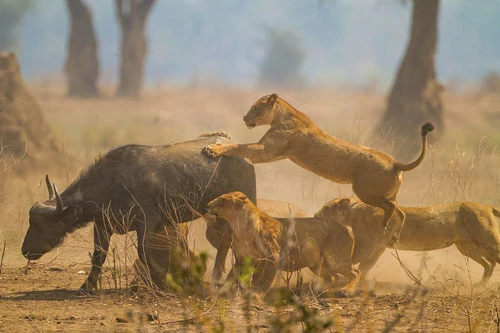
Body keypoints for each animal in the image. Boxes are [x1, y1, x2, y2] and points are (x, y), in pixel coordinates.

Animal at [21, 132, 256, 290]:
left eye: (38, 224)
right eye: (31, 221)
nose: (25, 250)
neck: (110, 185)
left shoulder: (146, 223)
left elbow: (144, 253)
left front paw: (155, 283)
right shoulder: (103, 225)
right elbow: (99, 256)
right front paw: (87, 286)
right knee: (225, 243)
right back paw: (219, 279)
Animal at [203, 93, 434, 244]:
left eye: (255, 107)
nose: (244, 118)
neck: (282, 115)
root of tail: (395, 162)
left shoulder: (265, 151)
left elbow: (239, 146)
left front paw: (214, 148)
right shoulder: (273, 153)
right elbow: (240, 146)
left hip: (364, 191)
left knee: (392, 207)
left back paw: (385, 225)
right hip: (386, 193)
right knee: (401, 212)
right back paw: (394, 236)